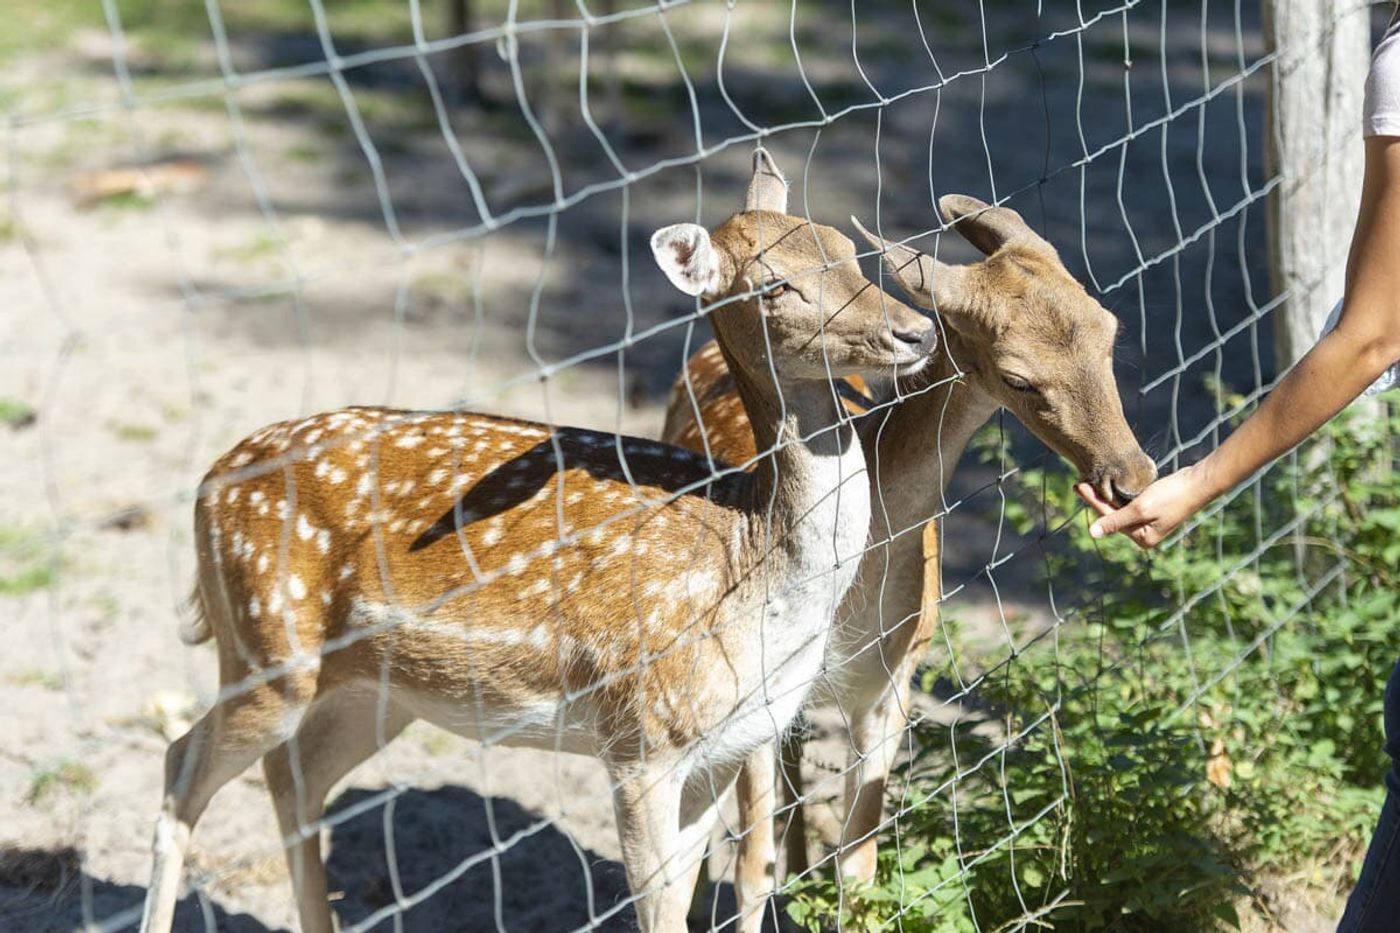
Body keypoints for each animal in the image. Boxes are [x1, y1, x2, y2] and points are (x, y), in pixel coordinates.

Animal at [139, 150, 940, 930]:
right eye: (774, 285)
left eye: (847, 249)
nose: (917, 331)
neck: (750, 566)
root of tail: (209, 482)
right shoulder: (641, 739)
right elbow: (660, 906)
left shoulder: (726, 745)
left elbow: (691, 890)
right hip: (267, 647)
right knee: (182, 764)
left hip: (375, 689)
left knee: (295, 777)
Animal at [660, 194, 1153, 924]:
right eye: (1017, 376)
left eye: (1111, 330)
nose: (1132, 477)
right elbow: (751, 869)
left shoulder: (898, 676)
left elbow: (859, 862)